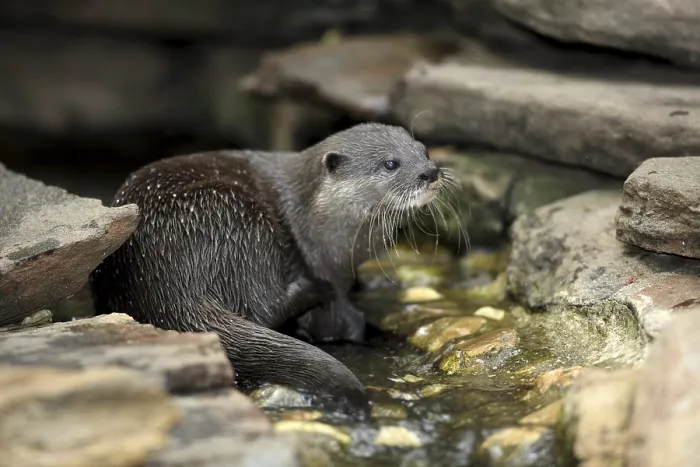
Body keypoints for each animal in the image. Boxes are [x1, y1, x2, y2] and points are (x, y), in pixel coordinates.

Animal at [90, 123, 446, 407]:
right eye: (390, 164)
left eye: (424, 151)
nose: (430, 172)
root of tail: (167, 279)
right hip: (243, 223)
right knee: (263, 307)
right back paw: (314, 290)